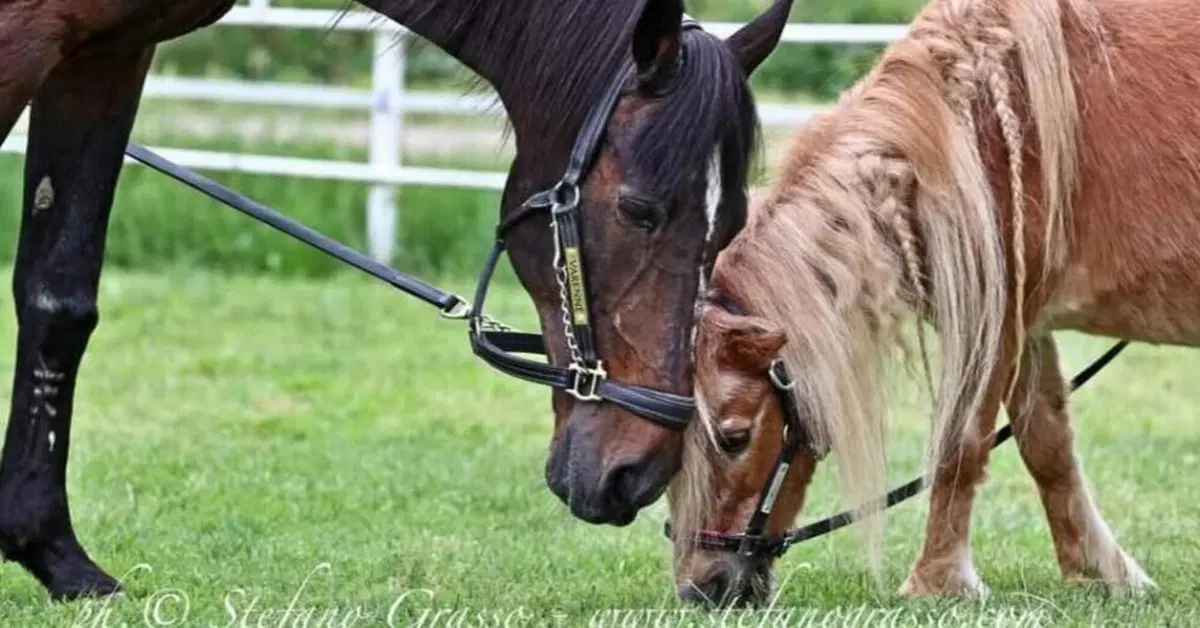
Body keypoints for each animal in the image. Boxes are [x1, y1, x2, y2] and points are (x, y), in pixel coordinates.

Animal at [0, 0, 794, 600]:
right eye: (639, 210)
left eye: (730, 224)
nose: (640, 472)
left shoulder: (106, 55)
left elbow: (59, 297)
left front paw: (54, 557)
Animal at [663, 0, 1194, 608]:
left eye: (735, 437)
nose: (702, 588)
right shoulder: (1026, 321)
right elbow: (1047, 444)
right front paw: (1098, 570)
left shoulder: (995, 325)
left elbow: (960, 446)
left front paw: (938, 581)